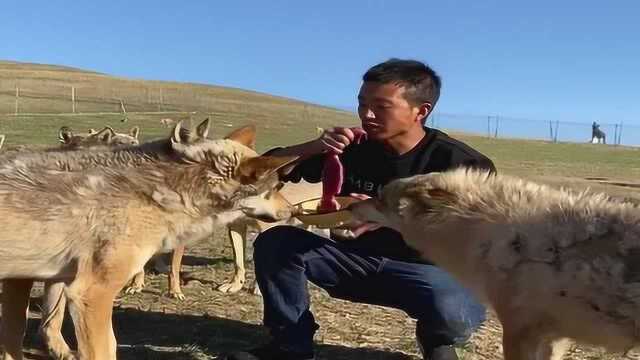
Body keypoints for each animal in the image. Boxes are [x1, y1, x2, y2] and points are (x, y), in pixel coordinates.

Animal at [0, 123, 300, 360]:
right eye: (275, 188)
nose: (292, 211)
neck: (162, 192)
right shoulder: (91, 293)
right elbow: (104, 348)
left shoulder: (27, 280)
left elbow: (18, 334)